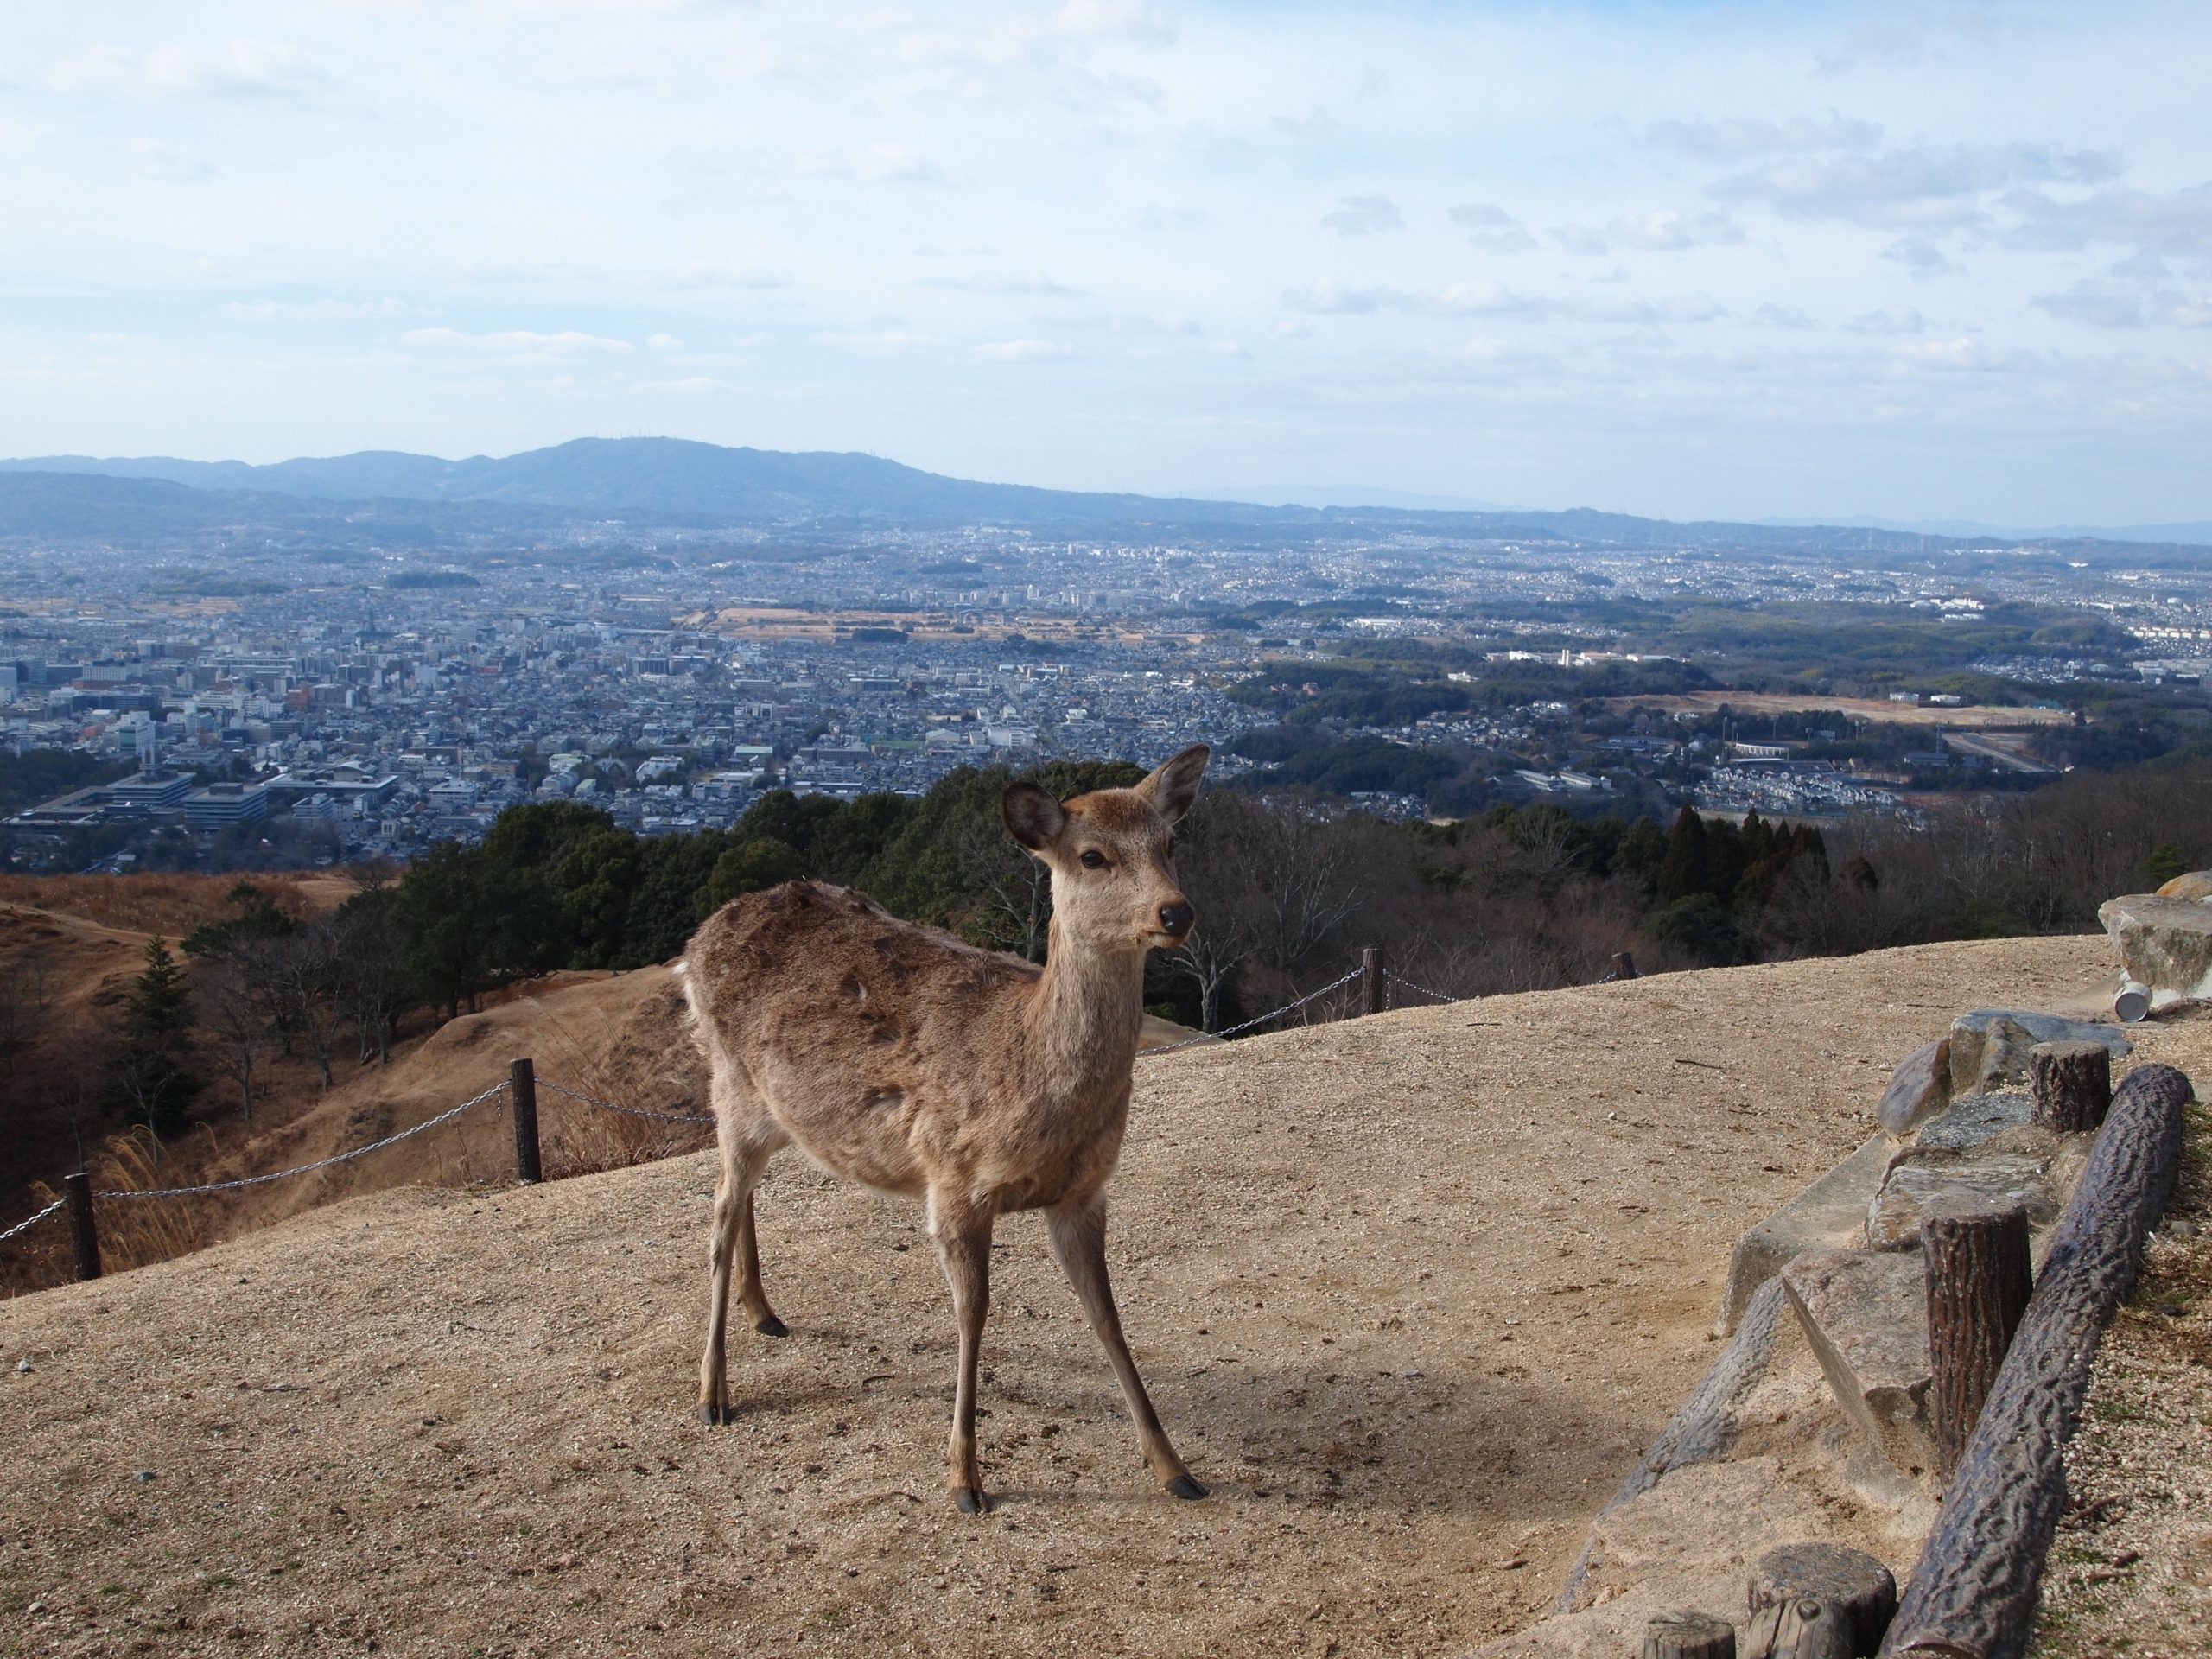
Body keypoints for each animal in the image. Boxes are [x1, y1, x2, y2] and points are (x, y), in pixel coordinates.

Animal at [681, 747, 1221, 1513]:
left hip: (773, 1112)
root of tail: (699, 939)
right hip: (727, 1084)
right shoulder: (953, 1179)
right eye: (1091, 855)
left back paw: (765, 1313)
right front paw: (965, 1478)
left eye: (1170, 842)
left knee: (743, 1193)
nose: (1176, 911)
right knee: (719, 1215)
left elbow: (1107, 1314)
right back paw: (713, 1393)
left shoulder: (1085, 1192)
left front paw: (1175, 1467)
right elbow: (975, 1313)